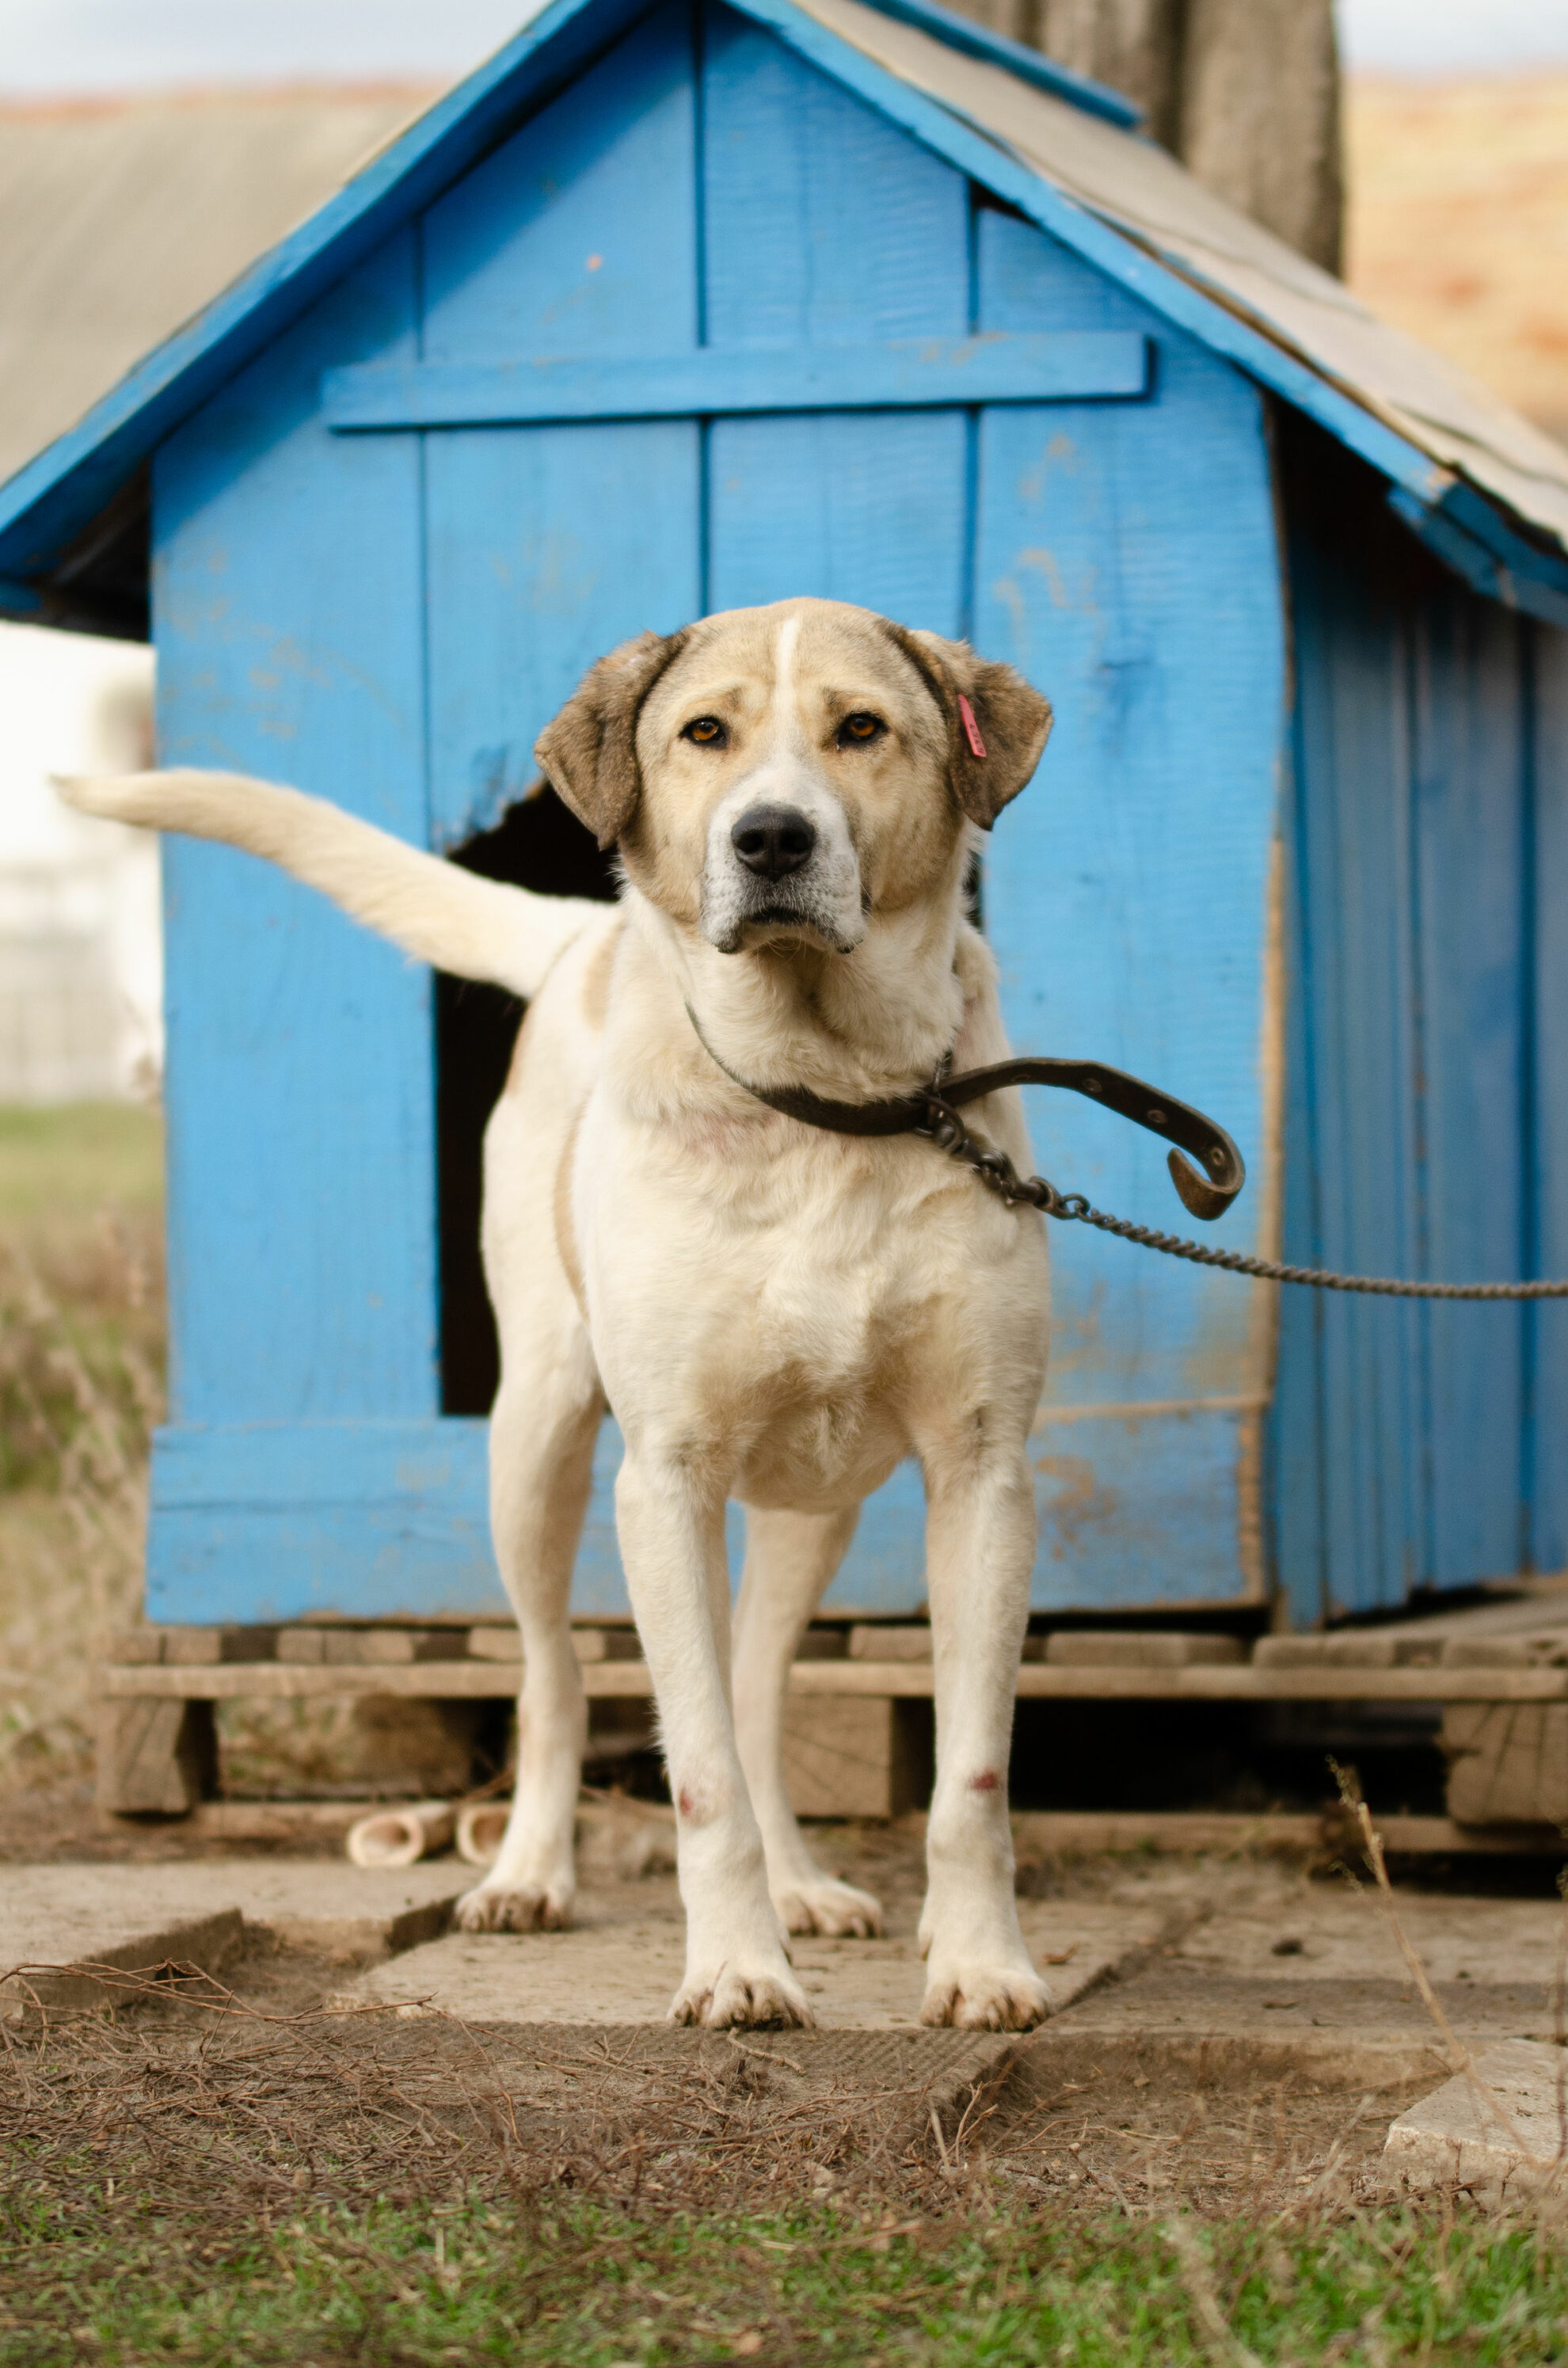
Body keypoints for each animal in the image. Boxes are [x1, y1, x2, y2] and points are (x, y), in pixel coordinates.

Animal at [67, 596, 1060, 2036]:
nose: (770, 838)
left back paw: (802, 1882)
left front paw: (979, 1963)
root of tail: (583, 940)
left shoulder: (982, 1474)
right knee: (551, 1679)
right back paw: (528, 1872)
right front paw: (737, 1968)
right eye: (704, 735)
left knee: (755, 1687)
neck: (822, 1096)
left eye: (862, 728)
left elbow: (968, 1776)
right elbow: (697, 1771)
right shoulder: (664, 1480)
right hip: (532, 1445)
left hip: (813, 1505)